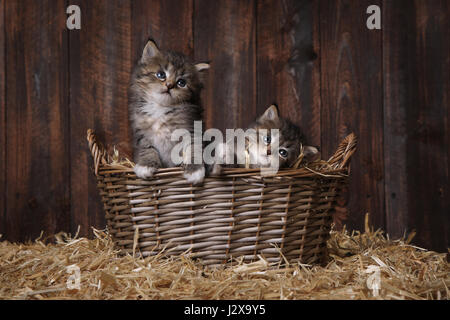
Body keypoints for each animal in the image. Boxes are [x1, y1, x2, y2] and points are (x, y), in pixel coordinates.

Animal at [128, 40, 209, 185]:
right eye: (161, 75)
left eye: (181, 82)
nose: (169, 85)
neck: (161, 107)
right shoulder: (141, 132)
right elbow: (147, 149)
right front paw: (145, 166)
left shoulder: (192, 129)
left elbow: (193, 149)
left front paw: (195, 170)